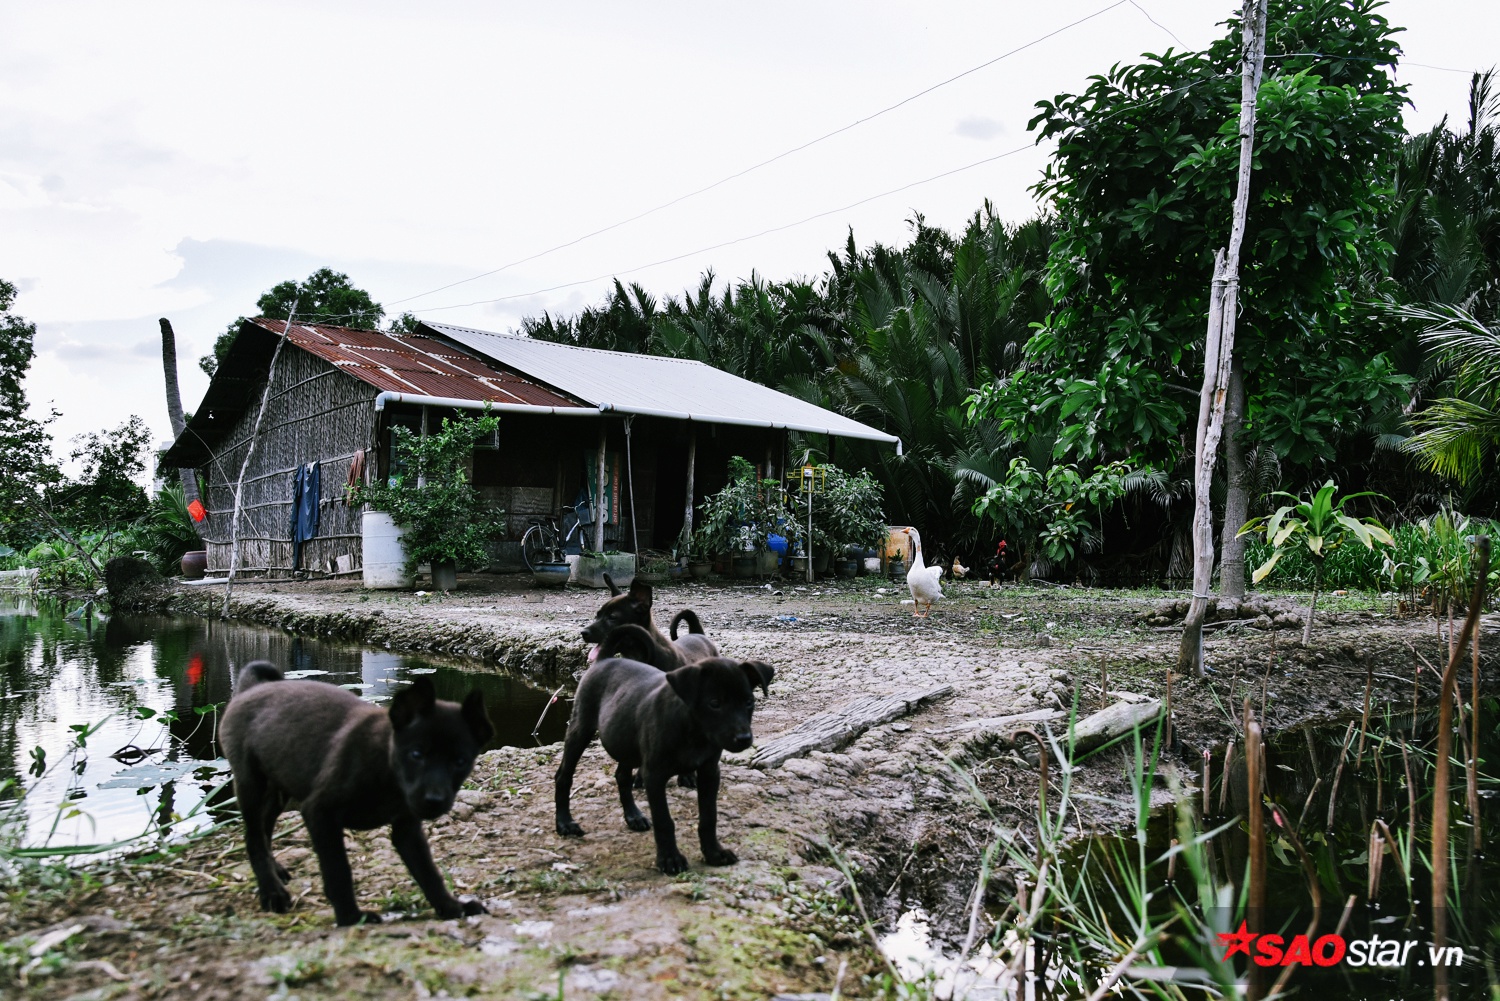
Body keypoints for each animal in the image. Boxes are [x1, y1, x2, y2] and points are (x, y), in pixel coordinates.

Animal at [220, 660, 492, 930]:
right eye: (416, 754)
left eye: (460, 762)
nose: (434, 802)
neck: (387, 767)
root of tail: (250, 689)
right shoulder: (320, 813)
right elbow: (338, 870)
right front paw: (350, 917)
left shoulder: (407, 829)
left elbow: (428, 872)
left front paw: (451, 907)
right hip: (251, 786)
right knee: (254, 837)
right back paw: (272, 892)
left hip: (279, 788)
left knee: (264, 829)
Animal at [558, 654, 780, 870]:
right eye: (714, 703)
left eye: (749, 701)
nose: (744, 738)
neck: (694, 732)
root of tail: (605, 659)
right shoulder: (654, 776)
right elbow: (664, 821)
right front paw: (669, 859)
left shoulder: (709, 773)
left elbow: (709, 816)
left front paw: (714, 853)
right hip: (580, 729)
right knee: (563, 775)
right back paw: (564, 823)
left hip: (626, 741)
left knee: (621, 776)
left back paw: (634, 816)